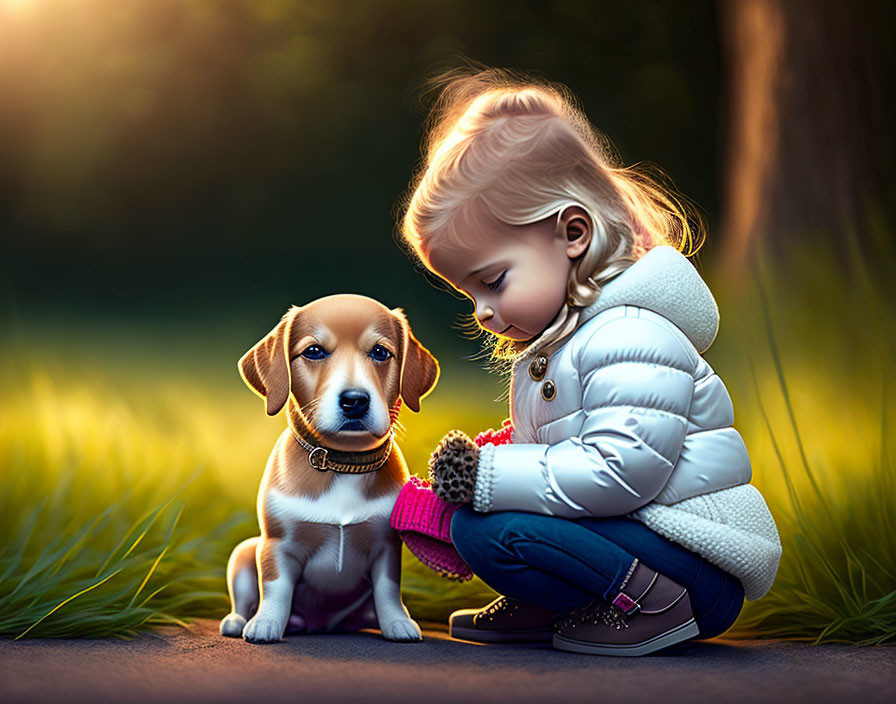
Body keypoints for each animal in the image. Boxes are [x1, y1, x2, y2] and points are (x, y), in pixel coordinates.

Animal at [219, 294, 440, 648]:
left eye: (380, 352)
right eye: (313, 351)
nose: (355, 400)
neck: (343, 463)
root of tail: (320, 625)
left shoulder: (387, 548)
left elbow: (388, 590)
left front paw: (398, 623)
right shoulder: (277, 545)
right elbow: (275, 589)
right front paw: (266, 624)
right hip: (243, 552)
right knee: (244, 596)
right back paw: (238, 621)